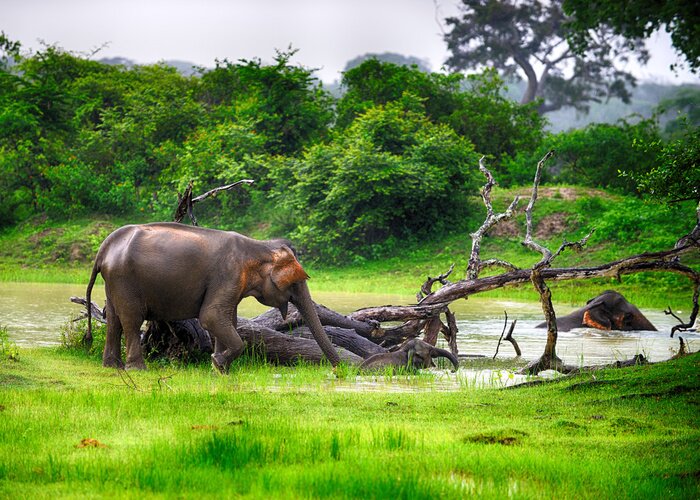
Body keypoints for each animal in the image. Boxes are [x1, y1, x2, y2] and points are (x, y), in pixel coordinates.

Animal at [83, 222, 340, 371]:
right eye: (294, 284)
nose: (339, 372)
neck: (259, 247)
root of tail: (104, 249)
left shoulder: (232, 283)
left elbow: (227, 319)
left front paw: (219, 368)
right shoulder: (227, 274)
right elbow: (211, 317)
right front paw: (218, 363)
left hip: (114, 282)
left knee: (113, 320)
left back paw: (112, 367)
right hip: (125, 279)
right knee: (131, 320)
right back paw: (138, 369)